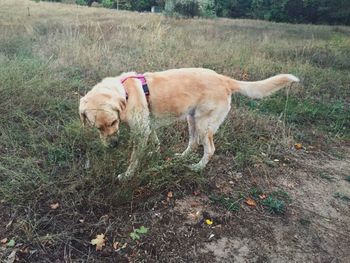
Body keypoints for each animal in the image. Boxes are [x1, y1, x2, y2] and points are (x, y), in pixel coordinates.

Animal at [79, 67, 298, 180]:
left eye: (113, 122)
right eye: (97, 128)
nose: (113, 145)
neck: (125, 92)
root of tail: (224, 79)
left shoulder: (141, 131)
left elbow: (134, 158)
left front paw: (127, 175)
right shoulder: (148, 126)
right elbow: (155, 142)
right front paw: (154, 153)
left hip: (203, 124)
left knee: (209, 148)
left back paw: (197, 167)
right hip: (191, 119)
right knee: (193, 143)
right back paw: (181, 158)